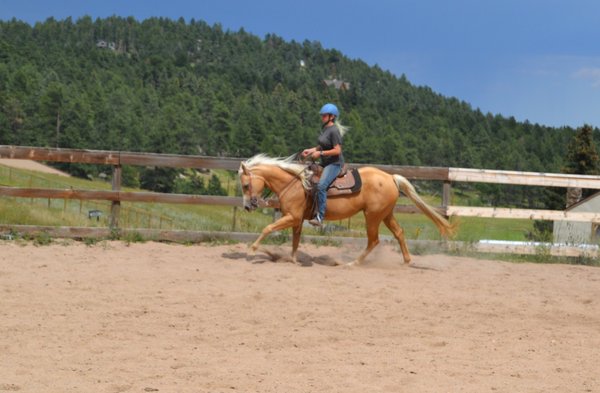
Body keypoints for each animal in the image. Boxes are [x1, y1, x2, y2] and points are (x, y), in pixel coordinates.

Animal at [237, 155, 452, 264]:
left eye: (245, 185)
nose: (247, 206)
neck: (295, 184)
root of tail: (391, 177)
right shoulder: (296, 220)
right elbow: (295, 241)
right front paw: (291, 260)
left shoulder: (293, 217)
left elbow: (268, 228)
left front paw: (251, 251)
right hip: (385, 214)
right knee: (399, 233)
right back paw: (407, 261)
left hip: (372, 216)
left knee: (374, 240)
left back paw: (354, 263)